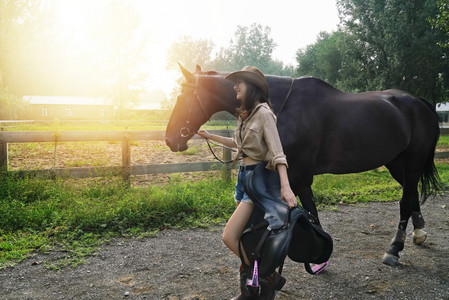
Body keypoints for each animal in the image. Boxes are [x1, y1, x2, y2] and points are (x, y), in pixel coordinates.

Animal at [164, 65, 438, 264]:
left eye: (183, 96)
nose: (170, 139)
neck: (281, 106)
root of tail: (419, 103)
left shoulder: (299, 176)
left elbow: (310, 212)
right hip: (397, 164)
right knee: (411, 193)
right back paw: (419, 233)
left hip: (412, 161)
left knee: (405, 201)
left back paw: (394, 249)